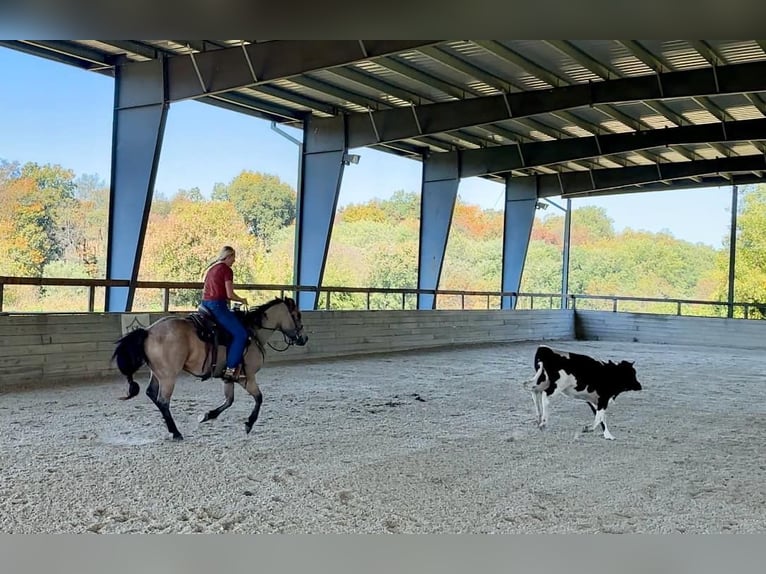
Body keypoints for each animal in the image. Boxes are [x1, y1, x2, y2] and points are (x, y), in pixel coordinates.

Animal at [112, 296, 308, 440]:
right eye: (297, 315)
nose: (304, 338)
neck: (253, 333)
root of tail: (148, 331)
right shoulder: (248, 377)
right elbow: (259, 398)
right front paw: (249, 424)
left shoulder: (229, 378)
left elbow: (229, 401)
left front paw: (207, 415)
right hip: (168, 377)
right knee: (162, 401)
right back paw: (176, 432)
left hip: (158, 373)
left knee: (152, 394)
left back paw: (172, 429)